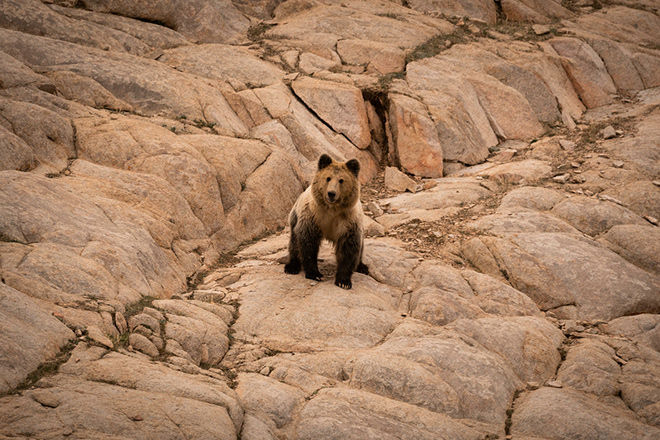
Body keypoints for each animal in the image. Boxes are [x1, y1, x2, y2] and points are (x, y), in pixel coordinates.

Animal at [282, 153, 368, 290]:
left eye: (341, 180)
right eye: (328, 178)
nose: (331, 193)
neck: (332, 209)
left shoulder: (348, 221)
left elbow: (348, 248)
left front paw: (343, 281)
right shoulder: (313, 216)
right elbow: (308, 243)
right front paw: (315, 274)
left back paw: (362, 267)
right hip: (295, 215)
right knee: (294, 242)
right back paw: (292, 266)